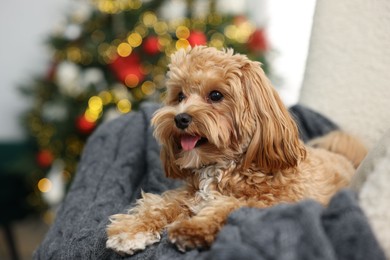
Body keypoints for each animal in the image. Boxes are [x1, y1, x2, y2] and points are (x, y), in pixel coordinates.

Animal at [106, 46, 366, 254]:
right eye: (179, 96)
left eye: (216, 95)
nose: (180, 118)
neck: (224, 166)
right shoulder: (188, 195)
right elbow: (159, 204)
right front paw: (131, 229)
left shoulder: (273, 202)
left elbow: (230, 207)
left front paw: (193, 228)